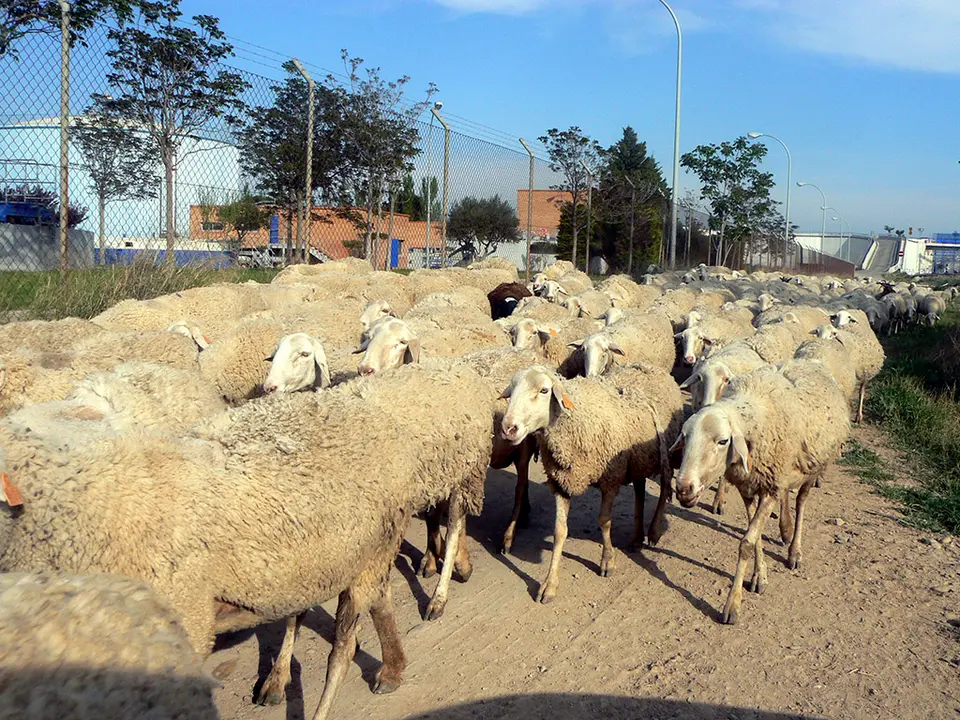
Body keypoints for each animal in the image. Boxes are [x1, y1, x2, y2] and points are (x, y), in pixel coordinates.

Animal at [499, 364, 683, 602]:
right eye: (511, 390)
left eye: (544, 390)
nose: (508, 428)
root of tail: (654, 368)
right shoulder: (562, 482)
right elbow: (559, 531)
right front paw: (549, 585)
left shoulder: (611, 478)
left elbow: (604, 521)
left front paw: (607, 561)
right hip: (637, 460)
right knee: (640, 491)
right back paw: (636, 537)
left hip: (666, 453)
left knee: (664, 490)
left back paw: (653, 531)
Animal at [671, 360, 850, 624]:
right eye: (684, 436)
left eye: (723, 441)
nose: (684, 488)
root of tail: (810, 361)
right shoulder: (750, 485)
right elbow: (754, 537)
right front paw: (759, 577)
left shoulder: (770, 489)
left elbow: (746, 542)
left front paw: (732, 605)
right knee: (786, 495)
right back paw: (785, 529)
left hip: (813, 468)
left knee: (801, 502)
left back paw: (794, 550)